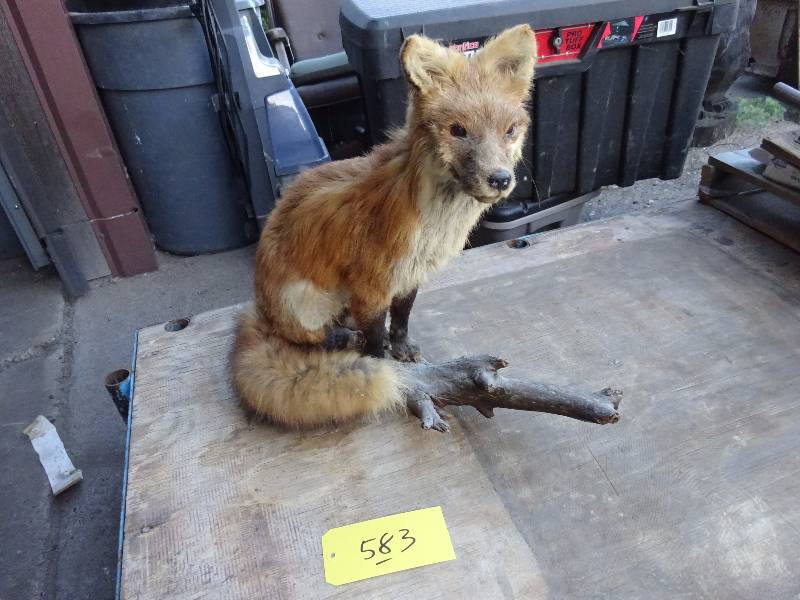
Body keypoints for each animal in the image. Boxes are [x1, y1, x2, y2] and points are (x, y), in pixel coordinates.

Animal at [232, 24, 537, 430]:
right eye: (457, 130)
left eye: (509, 131)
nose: (500, 179)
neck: (432, 225)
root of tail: (259, 307)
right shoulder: (371, 286)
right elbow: (377, 340)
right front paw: (387, 365)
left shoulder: (409, 275)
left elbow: (402, 318)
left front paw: (403, 348)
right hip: (307, 303)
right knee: (306, 338)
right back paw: (341, 339)